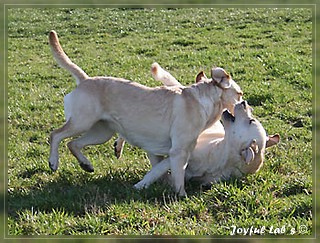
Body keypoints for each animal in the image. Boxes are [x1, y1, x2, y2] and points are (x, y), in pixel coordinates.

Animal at [47, 30, 242, 196]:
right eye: (239, 94)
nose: (245, 102)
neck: (204, 100)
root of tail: (85, 80)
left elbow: (159, 170)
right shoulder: (179, 151)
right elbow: (178, 178)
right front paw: (182, 197)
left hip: (101, 132)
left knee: (73, 143)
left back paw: (86, 164)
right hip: (82, 122)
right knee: (55, 135)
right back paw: (53, 162)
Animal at [116, 65, 278, 190]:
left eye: (251, 120)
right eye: (240, 94)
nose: (246, 104)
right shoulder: (178, 152)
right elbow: (158, 170)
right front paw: (141, 185)